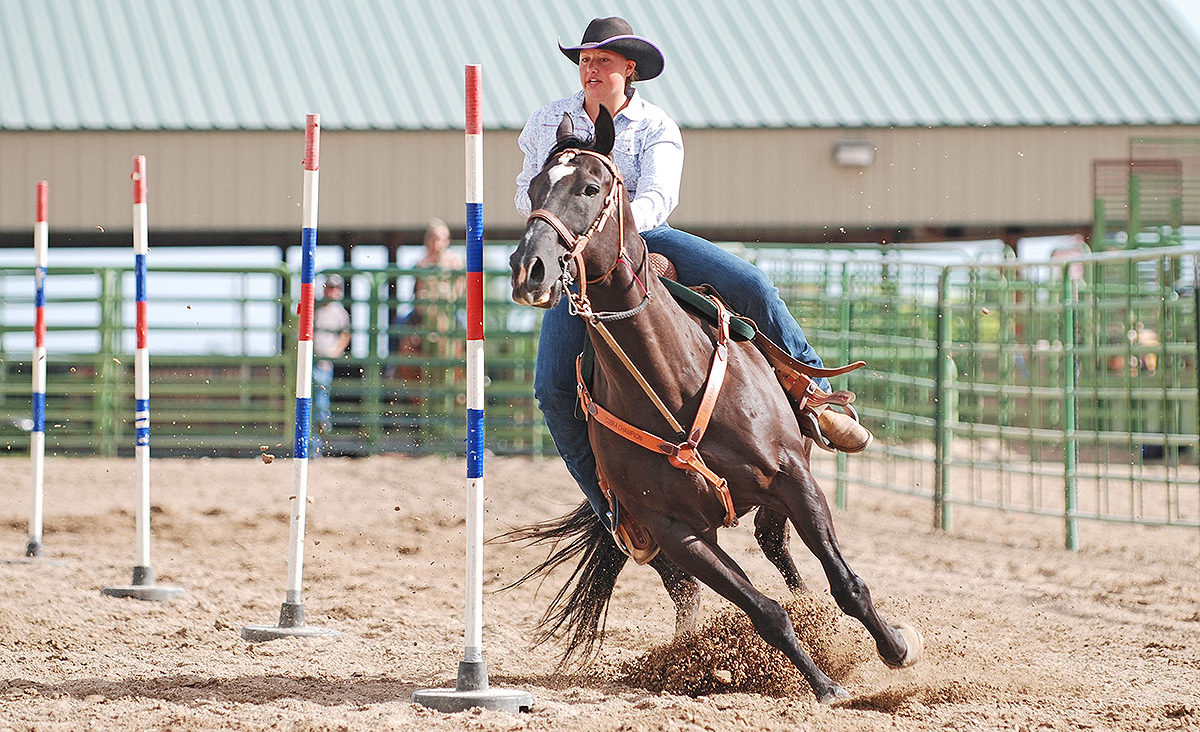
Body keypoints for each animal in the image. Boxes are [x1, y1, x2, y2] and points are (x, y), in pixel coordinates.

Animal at [504, 108, 916, 700]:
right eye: (535, 187)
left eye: (590, 187)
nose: (529, 268)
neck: (674, 383)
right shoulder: (677, 533)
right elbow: (765, 612)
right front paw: (822, 685)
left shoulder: (793, 477)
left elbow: (846, 584)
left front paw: (896, 648)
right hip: (661, 544)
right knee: (701, 589)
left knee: (775, 544)